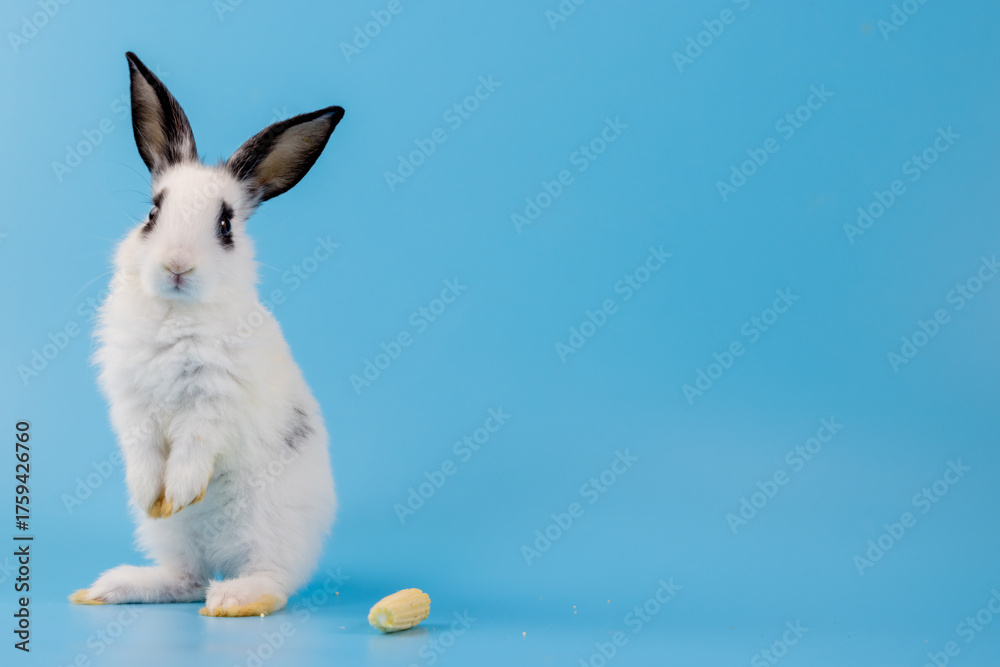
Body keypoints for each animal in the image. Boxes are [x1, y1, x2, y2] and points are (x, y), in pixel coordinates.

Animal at [70, 52, 343, 617]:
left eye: (225, 226)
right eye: (153, 213)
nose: (177, 265)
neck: (176, 315)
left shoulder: (213, 402)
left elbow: (195, 446)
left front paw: (180, 491)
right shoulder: (133, 405)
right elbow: (143, 451)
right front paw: (154, 496)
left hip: (269, 526)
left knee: (272, 581)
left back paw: (233, 598)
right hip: (171, 540)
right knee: (187, 579)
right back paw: (112, 587)